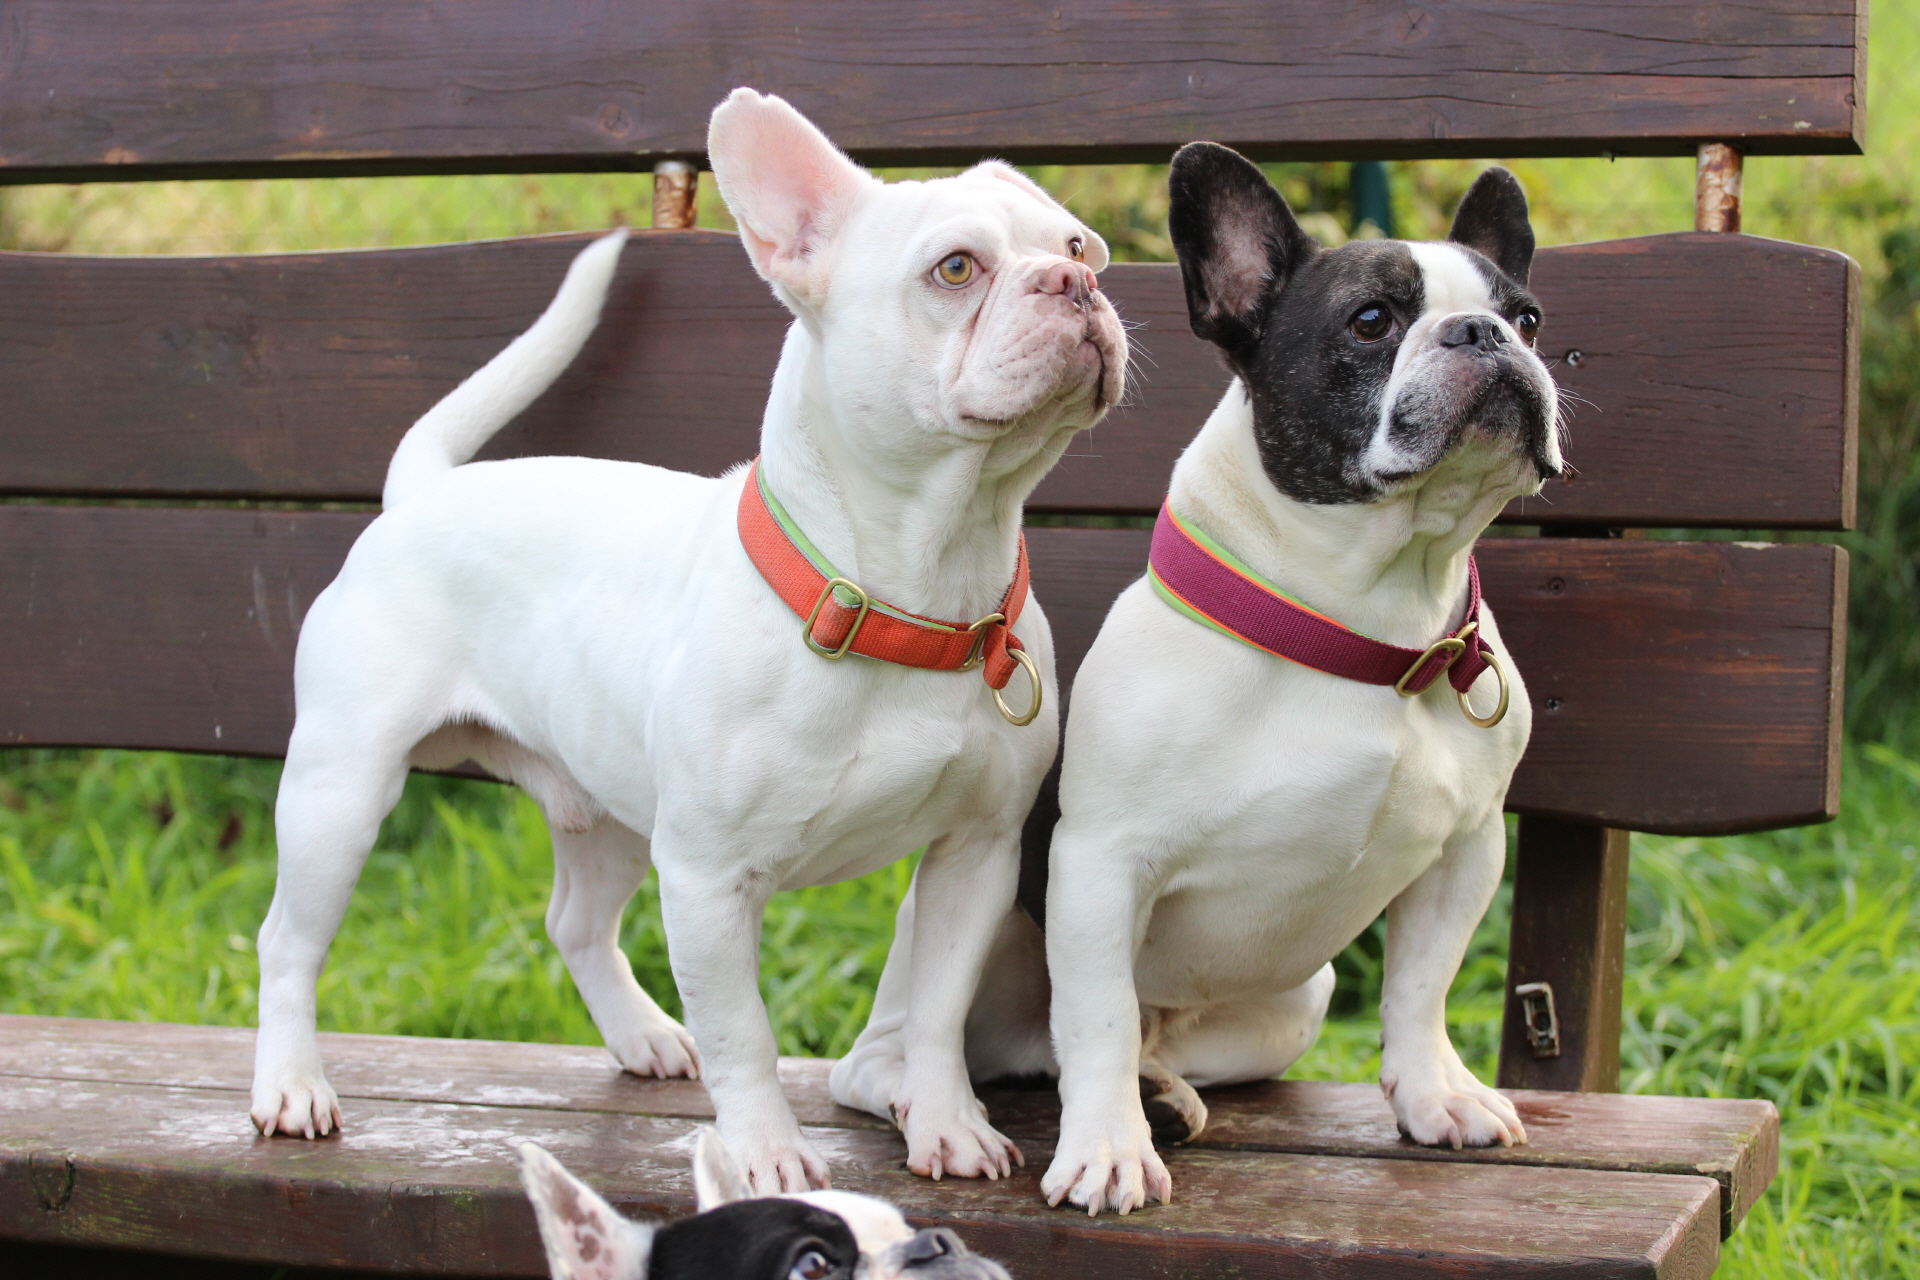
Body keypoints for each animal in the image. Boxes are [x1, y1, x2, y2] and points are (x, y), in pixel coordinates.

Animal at [248, 87, 1126, 1195]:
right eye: (957, 269)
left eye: (1077, 243)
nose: (1077, 280)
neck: (916, 587)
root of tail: (422, 490)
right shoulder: (710, 879)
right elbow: (745, 1031)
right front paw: (765, 1152)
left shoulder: (975, 855)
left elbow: (935, 1011)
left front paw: (946, 1123)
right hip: (339, 792)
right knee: (289, 940)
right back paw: (289, 1086)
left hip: (612, 810)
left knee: (575, 923)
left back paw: (643, 1035)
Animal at [866, 144, 1561, 1214]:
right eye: (1372, 320)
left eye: (1526, 319)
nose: (1482, 333)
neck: (1368, 625)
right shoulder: (1102, 866)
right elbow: (1098, 1016)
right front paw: (1107, 1153)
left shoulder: (1467, 848)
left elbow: (1421, 985)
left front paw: (1435, 1094)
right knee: (931, 1051)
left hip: (1297, 998)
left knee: (1125, 1045)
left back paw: (1162, 1089)